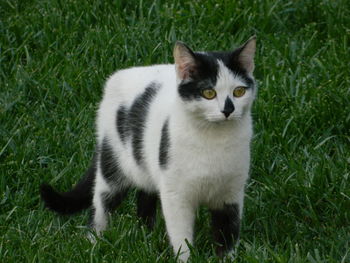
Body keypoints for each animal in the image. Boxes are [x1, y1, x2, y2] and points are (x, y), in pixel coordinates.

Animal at [40, 36, 258, 262]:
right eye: (209, 93)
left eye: (239, 91)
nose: (228, 109)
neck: (214, 141)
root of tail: (118, 76)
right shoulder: (175, 194)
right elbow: (181, 236)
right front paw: (184, 258)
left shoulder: (231, 195)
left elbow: (228, 234)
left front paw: (227, 257)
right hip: (112, 161)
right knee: (101, 201)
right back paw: (94, 240)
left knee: (144, 195)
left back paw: (145, 234)